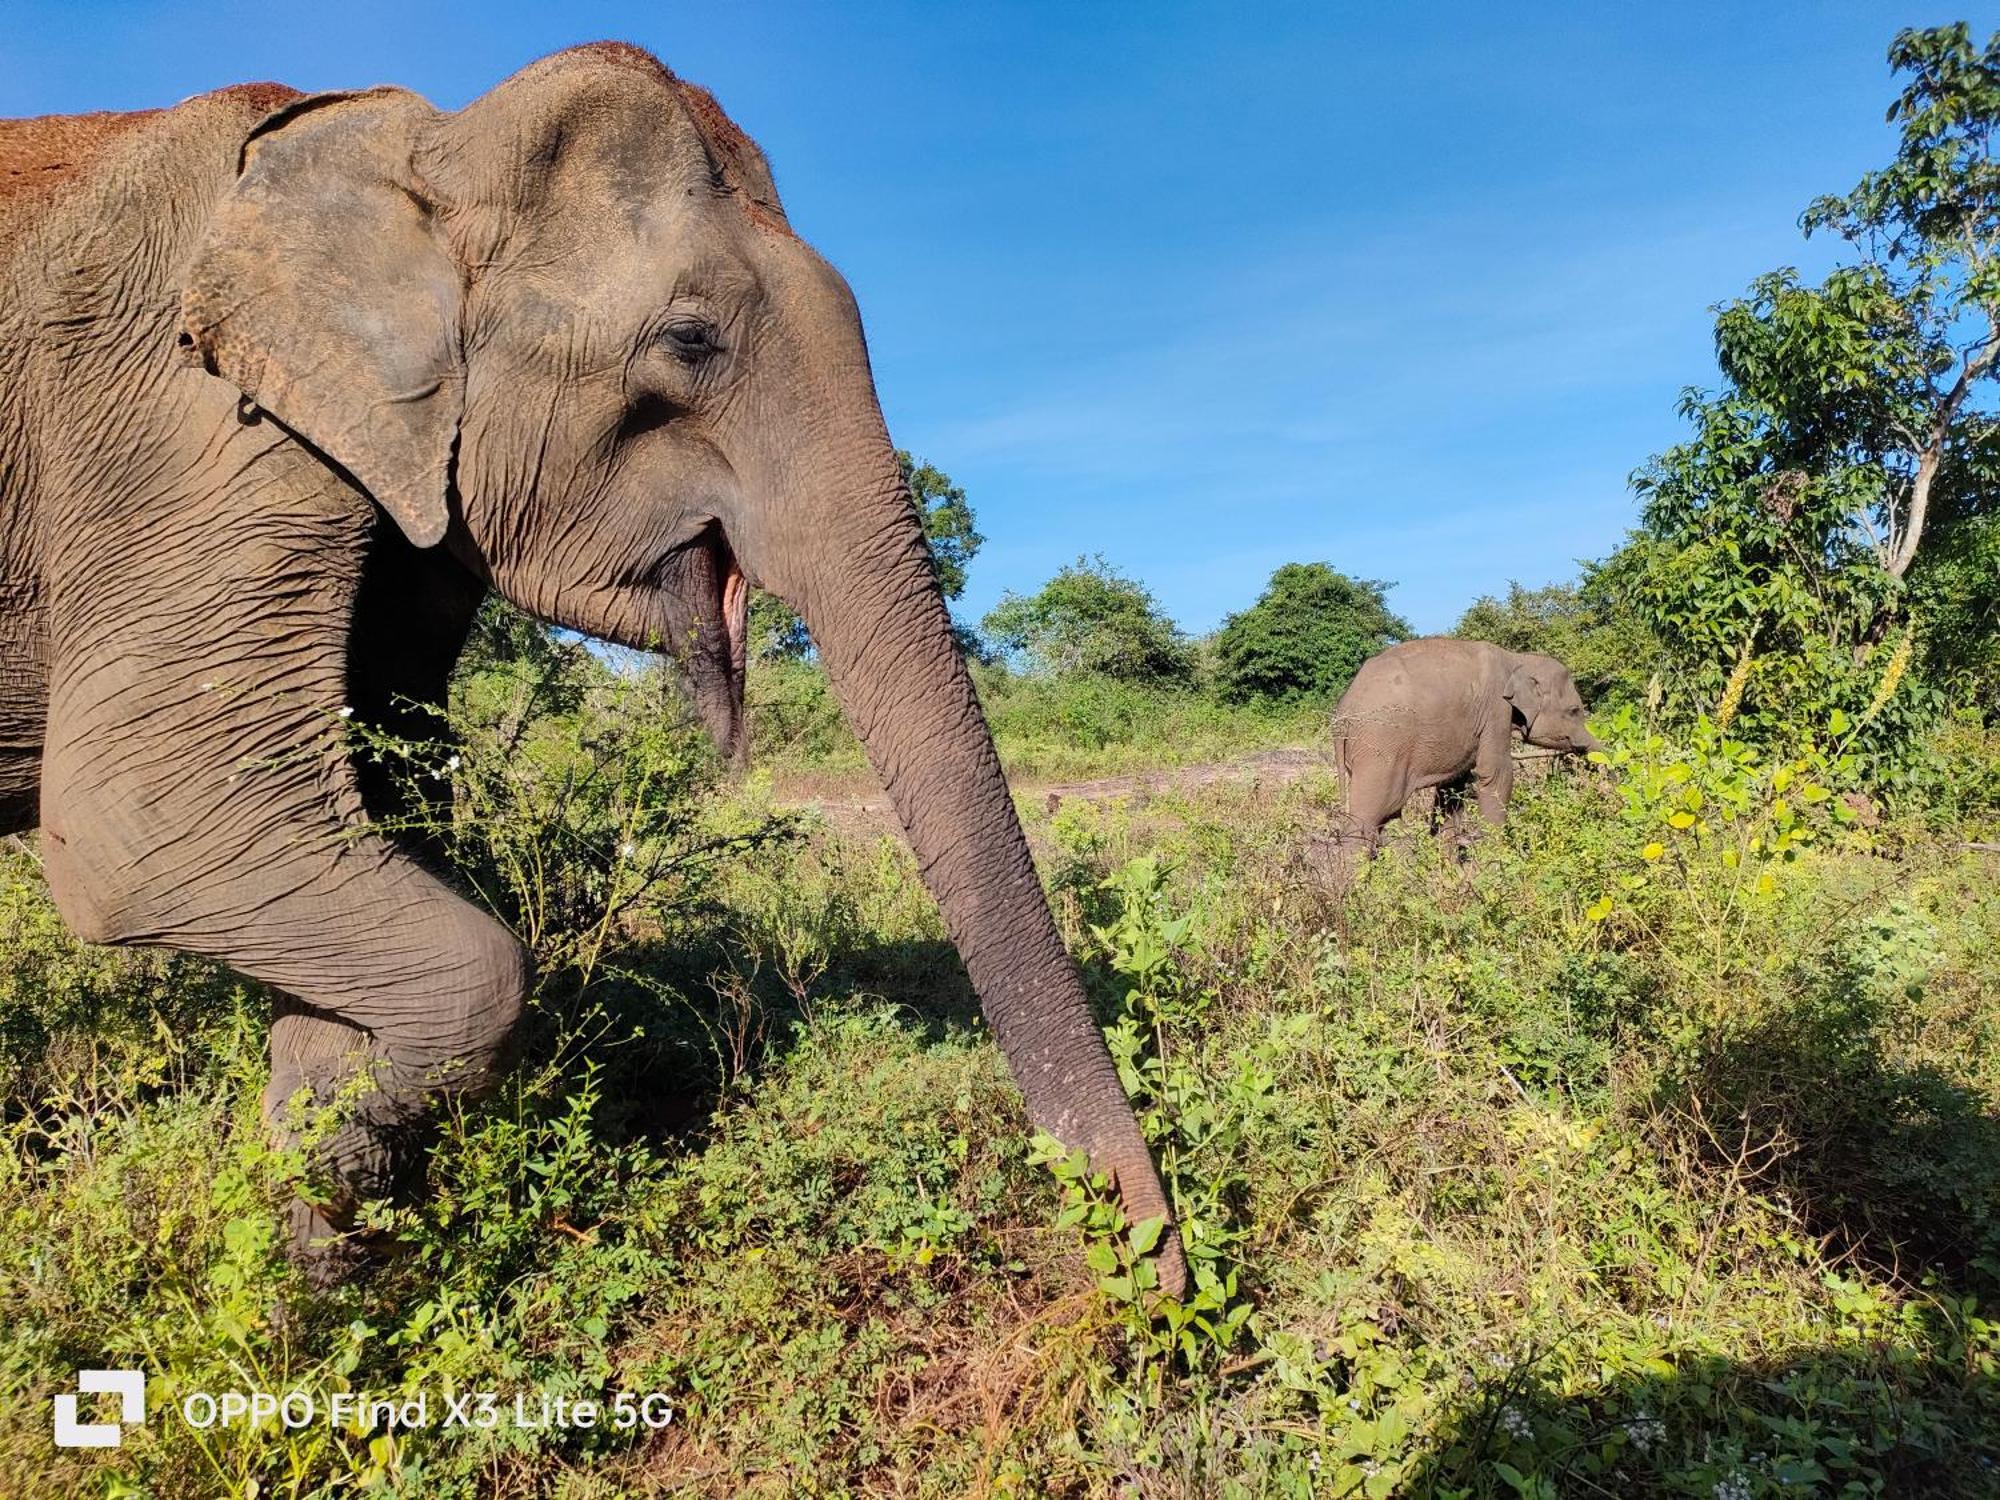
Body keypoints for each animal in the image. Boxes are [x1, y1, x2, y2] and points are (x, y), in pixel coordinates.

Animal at [0, 44, 1184, 1296]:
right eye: (690, 342)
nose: (1145, 1269)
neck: (423, 146)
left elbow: (356, 821)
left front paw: (327, 1248)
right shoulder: (187, 429)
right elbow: (152, 829)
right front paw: (333, 1217)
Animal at [1336, 636, 1600, 856]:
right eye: (1574, 711)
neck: (1518, 658)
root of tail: (1343, 710)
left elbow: (1452, 788)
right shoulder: (1496, 710)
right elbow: (1496, 775)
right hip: (1380, 749)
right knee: (1370, 816)